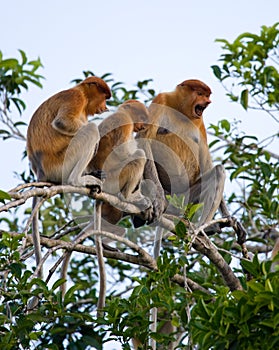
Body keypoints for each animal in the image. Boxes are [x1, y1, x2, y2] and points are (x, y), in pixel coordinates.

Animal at [27, 76, 111, 278]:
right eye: (104, 96)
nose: (105, 107)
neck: (82, 93)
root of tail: (40, 169)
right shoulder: (74, 98)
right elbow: (63, 122)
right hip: (61, 163)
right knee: (90, 130)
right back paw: (80, 180)